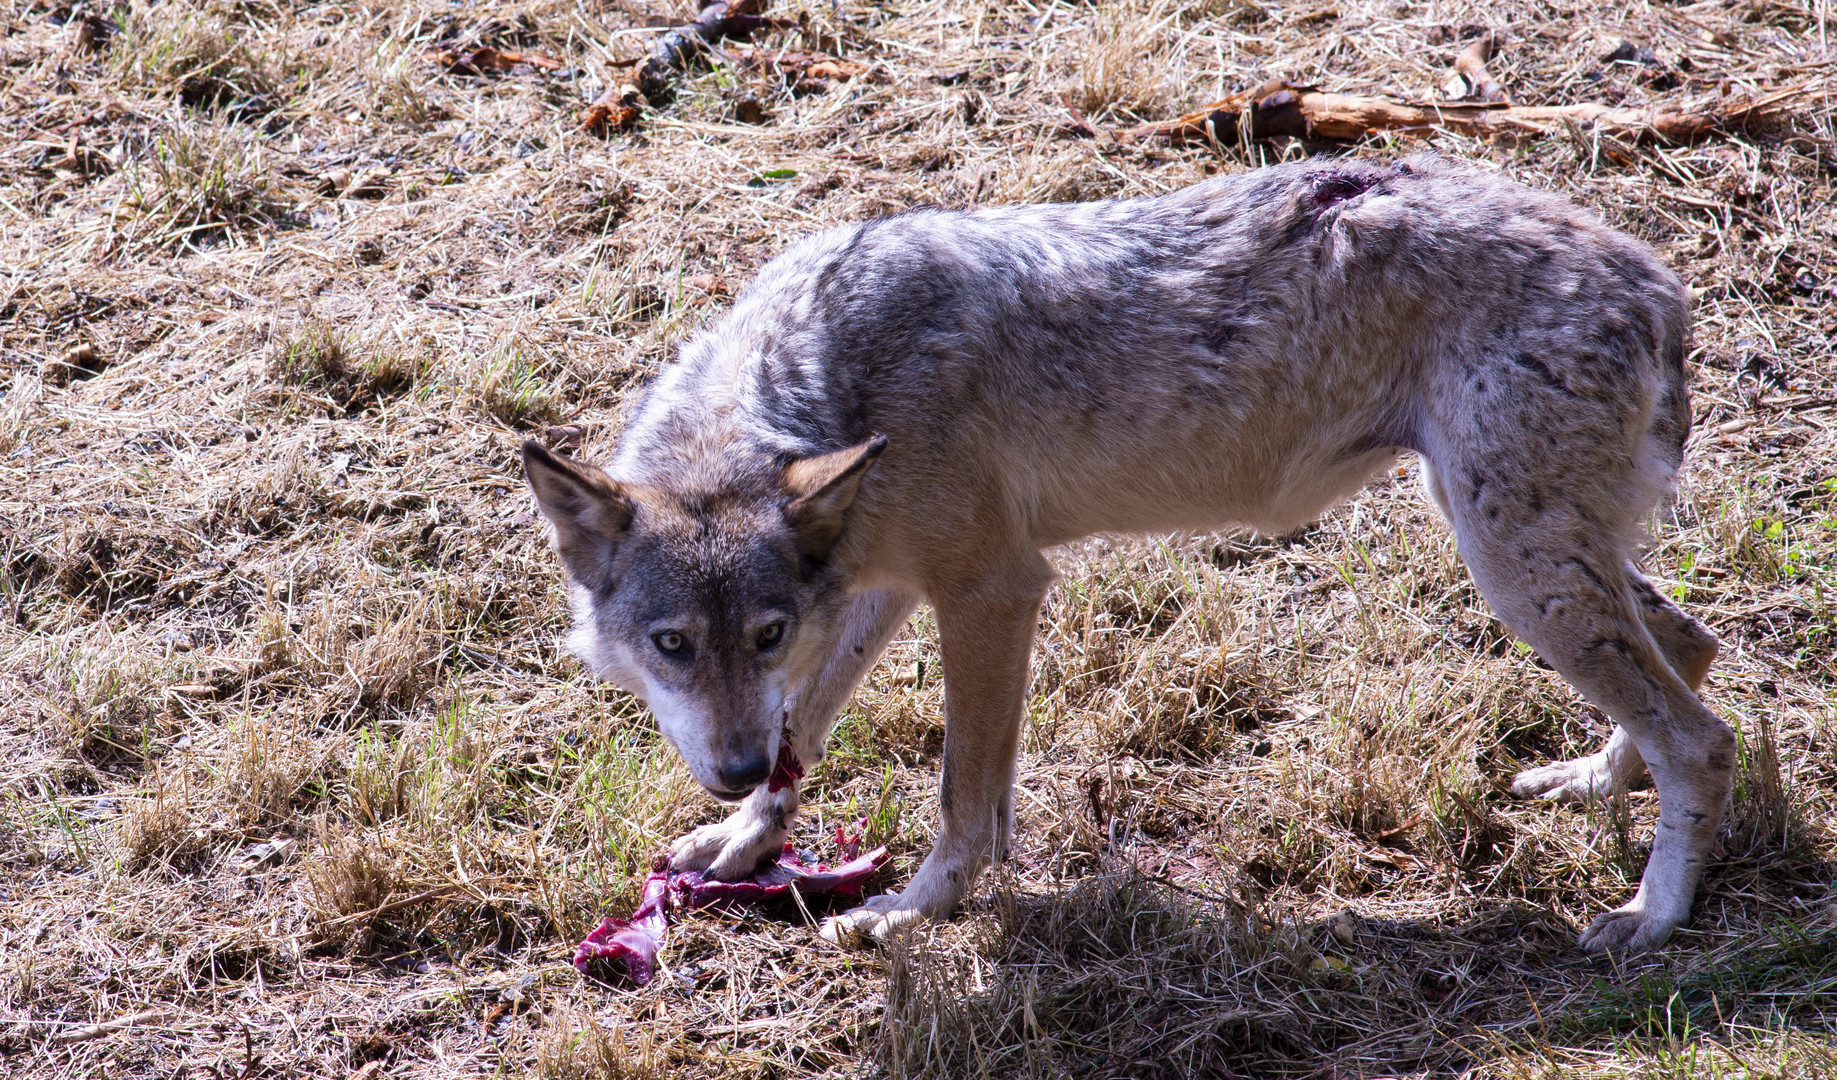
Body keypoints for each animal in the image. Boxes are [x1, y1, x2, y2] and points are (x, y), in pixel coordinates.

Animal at [525, 156, 1726, 947]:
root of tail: (1658, 280)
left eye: (762, 633)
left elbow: (962, 796)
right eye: (674, 646)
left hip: (1511, 570)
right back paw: (1593, 781)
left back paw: (1649, 917)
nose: (727, 765)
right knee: (1692, 647)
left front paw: (909, 913)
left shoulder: (992, 591)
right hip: (1531, 553)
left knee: (1702, 736)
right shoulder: (884, 592)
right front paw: (743, 839)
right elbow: (808, 730)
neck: (837, 379)